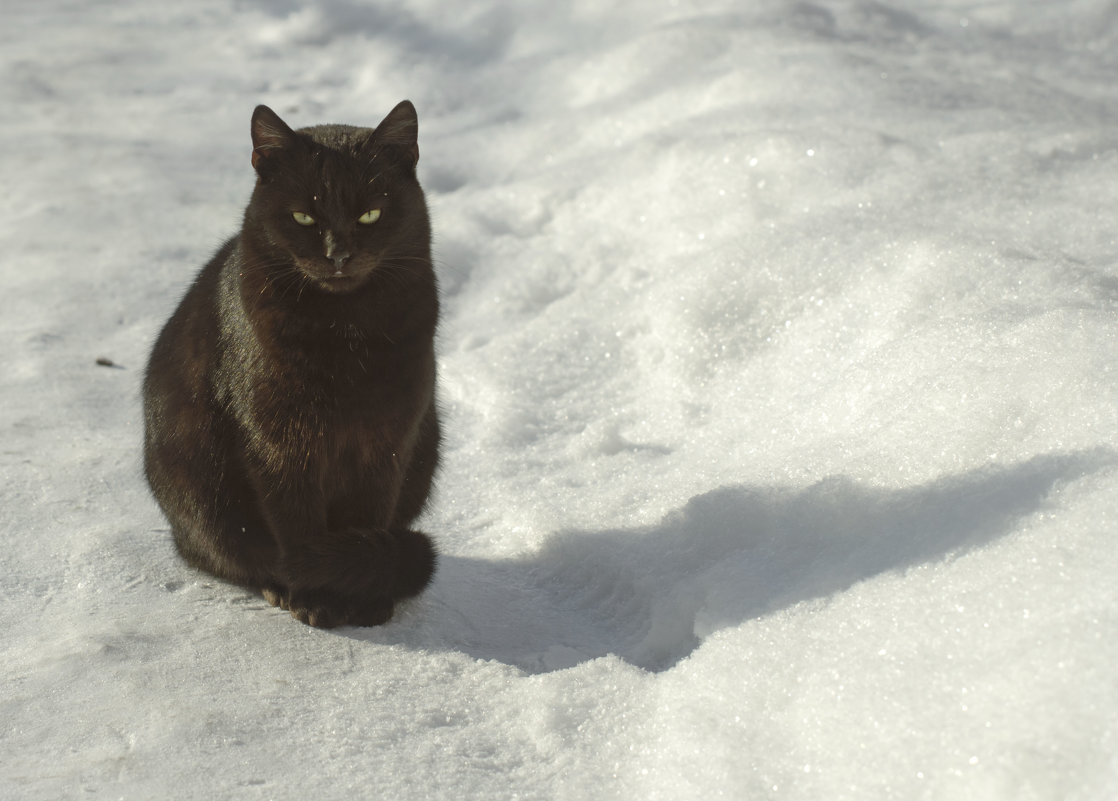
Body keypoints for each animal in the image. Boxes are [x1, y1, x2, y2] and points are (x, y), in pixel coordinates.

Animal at [139, 100, 436, 626]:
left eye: (370, 213)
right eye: (303, 216)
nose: (339, 255)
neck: (344, 334)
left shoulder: (387, 442)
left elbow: (368, 515)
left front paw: (364, 592)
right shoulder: (279, 444)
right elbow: (296, 523)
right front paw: (316, 594)